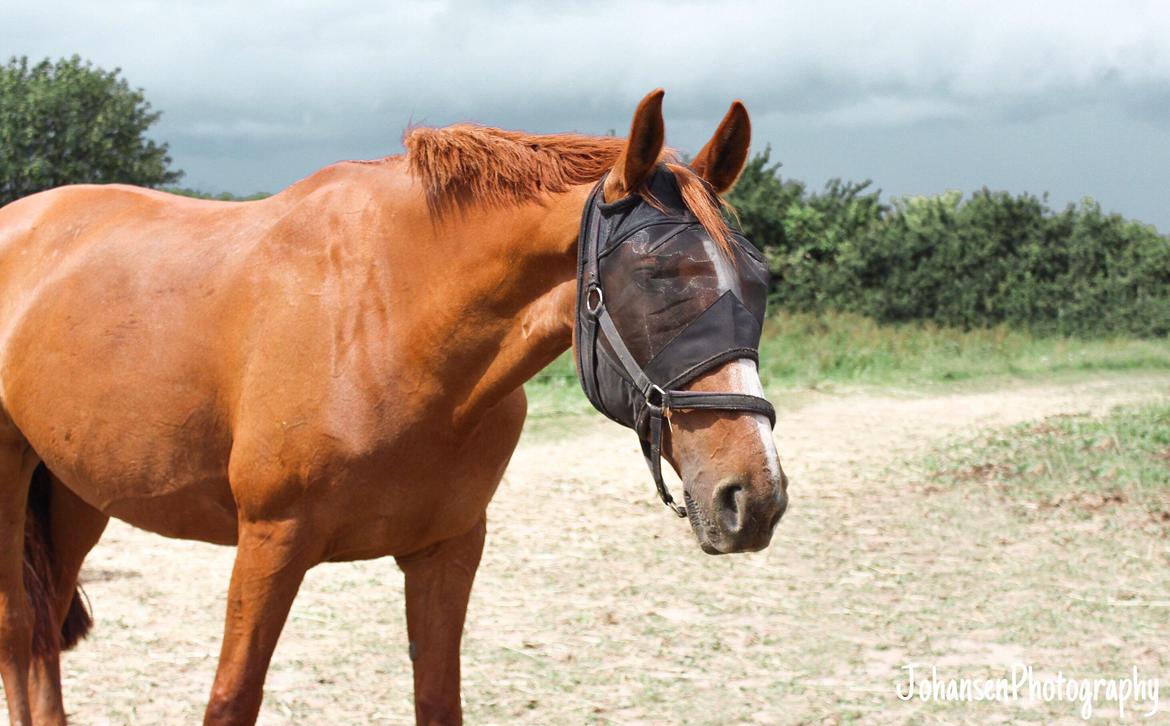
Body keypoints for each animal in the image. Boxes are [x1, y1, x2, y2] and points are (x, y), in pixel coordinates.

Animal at [0, 90, 790, 724]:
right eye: (655, 276)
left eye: (759, 279)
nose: (754, 495)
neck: (386, 317)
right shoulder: (270, 542)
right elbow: (231, 699)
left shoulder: (448, 549)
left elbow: (437, 699)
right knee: (17, 631)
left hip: (76, 495)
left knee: (42, 637)